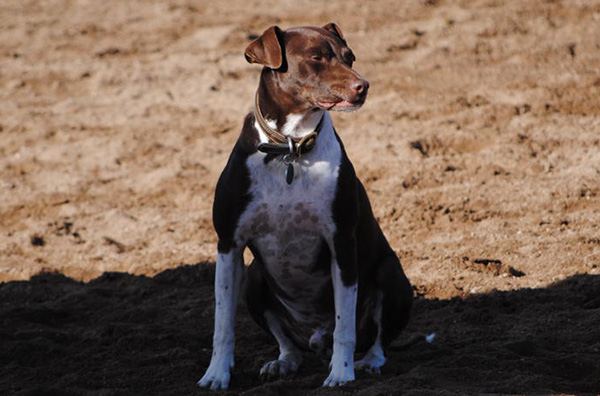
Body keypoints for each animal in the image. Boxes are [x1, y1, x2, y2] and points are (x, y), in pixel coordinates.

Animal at [197, 22, 412, 390]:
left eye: (349, 57)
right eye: (316, 58)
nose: (363, 86)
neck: (290, 148)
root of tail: (314, 337)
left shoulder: (342, 244)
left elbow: (345, 324)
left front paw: (342, 373)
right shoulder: (228, 246)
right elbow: (222, 323)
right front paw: (216, 374)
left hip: (391, 275)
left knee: (377, 338)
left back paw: (368, 361)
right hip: (255, 281)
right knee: (287, 342)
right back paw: (283, 362)